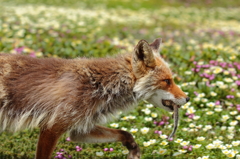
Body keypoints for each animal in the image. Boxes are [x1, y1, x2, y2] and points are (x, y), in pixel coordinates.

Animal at [0, 38, 189, 159]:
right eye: (167, 81)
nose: (187, 99)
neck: (99, 85)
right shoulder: (52, 127)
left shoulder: (80, 128)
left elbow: (125, 133)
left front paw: (133, 149)